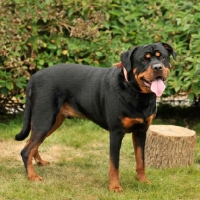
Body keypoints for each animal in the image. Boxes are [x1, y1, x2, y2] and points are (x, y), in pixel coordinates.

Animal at [14, 41, 176, 191]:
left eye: (162, 57)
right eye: (144, 60)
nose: (157, 67)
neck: (137, 93)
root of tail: (35, 76)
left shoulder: (141, 131)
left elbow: (141, 160)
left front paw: (144, 182)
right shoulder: (116, 132)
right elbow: (114, 164)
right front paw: (115, 187)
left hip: (53, 121)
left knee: (31, 142)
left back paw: (39, 162)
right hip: (45, 119)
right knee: (26, 150)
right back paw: (32, 176)